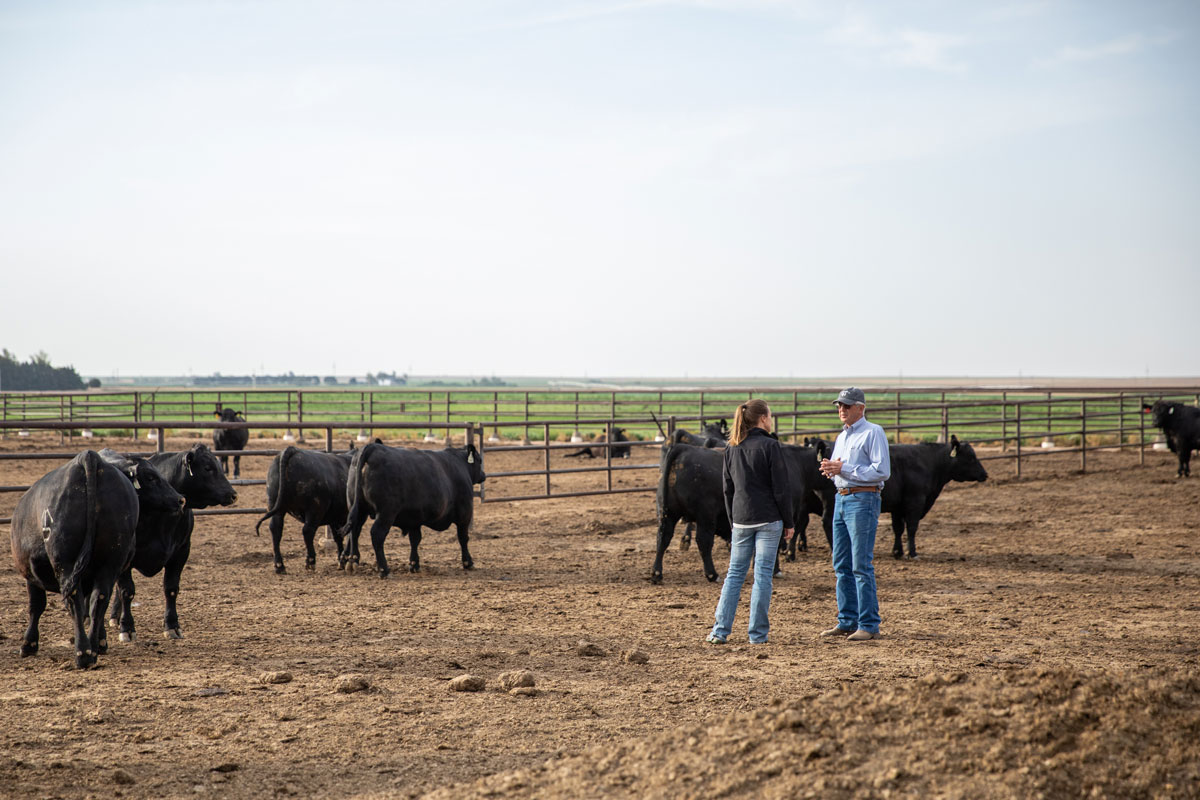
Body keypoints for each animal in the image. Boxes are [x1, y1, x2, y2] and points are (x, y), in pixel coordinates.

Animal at [11, 450, 137, 671]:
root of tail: (87, 457)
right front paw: (102, 642)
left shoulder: (31, 575)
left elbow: (36, 605)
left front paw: (29, 644)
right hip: (109, 563)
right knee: (99, 599)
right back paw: (93, 648)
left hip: (66, 563)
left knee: (74, 601)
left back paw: (83, 653)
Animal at [106, 441, 235, 642]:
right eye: (208, 468)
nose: (232, 494)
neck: (160, 517)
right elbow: (127, 591)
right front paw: (127, 628)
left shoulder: (181, 552)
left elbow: (171, 589)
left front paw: (173, 626)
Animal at [336, 441, 484, 578]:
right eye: (480, 460)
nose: (483, 475)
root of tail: (372, 447)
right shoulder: (465, 514)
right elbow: (463, 538)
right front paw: (468, 562)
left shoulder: (414, 519)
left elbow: (415, 539)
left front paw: (414, 564)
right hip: (386, 513)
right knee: (377, 534)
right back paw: (384, 570)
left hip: (358, 509)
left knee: (355, 532)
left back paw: (352, 562)